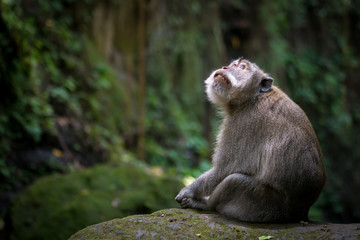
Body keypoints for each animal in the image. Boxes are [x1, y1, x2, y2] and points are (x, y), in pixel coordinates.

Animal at [174, 58, 326, 223]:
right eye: (233, 65)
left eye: (241, 67)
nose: (225, 67)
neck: (251, 98)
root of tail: (300, 213)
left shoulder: (244, 123)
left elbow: (224, 169)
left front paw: (188, 191)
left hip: (263, 205)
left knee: (234, 180)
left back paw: (206, 205)